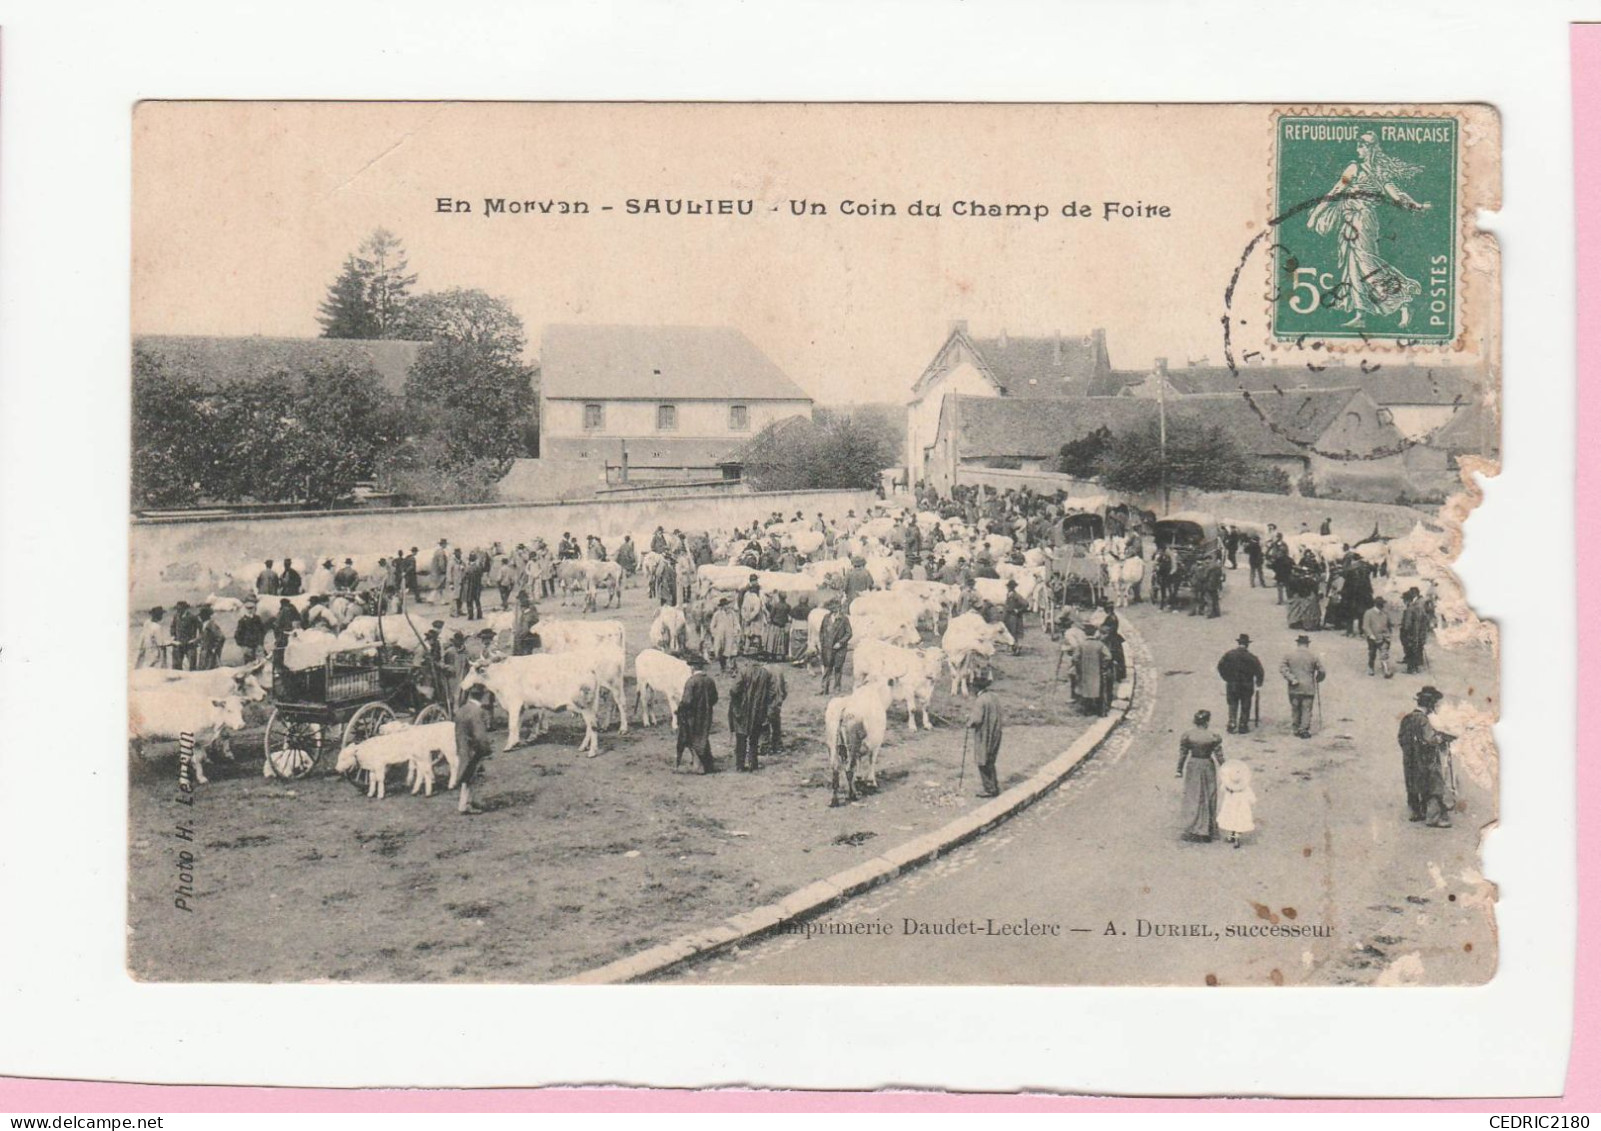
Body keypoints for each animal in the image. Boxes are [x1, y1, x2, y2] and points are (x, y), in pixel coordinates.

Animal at [461, 647, 601, 752]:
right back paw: (583, 747)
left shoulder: (514, 704)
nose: (462, 685)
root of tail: (591, 670)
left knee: (592, 725)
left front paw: (508, 746)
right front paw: (515, 743)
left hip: (584, 705)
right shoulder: (521, 708)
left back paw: (592, 751)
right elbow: (517, 725)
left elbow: (512, 725)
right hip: (589, 705)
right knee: (590, 726)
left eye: (473, 671)